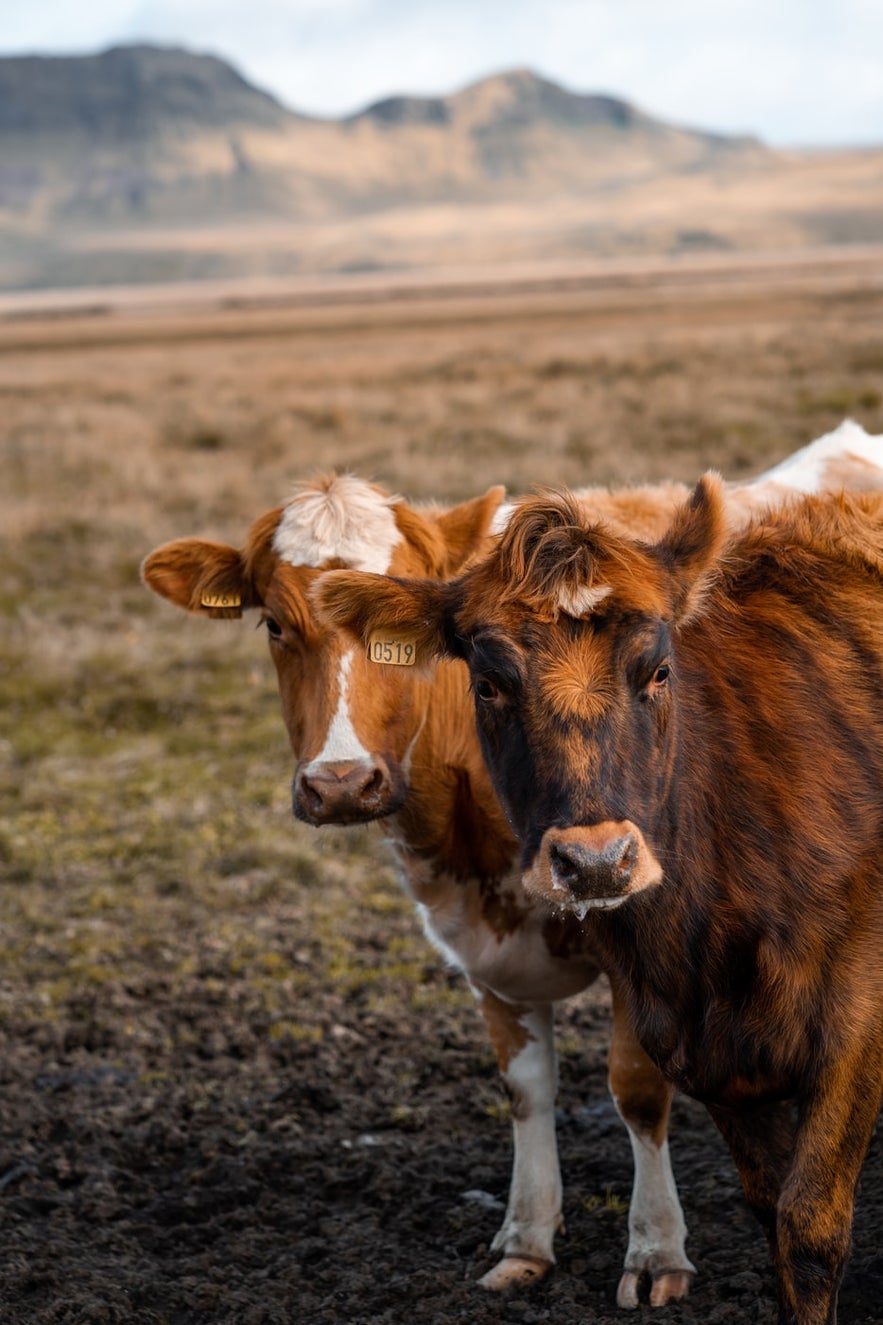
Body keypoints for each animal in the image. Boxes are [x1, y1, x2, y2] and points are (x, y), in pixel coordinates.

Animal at [312, 471, 880, 1319]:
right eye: (488, 682)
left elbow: (807, 1229)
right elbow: (772, 1216)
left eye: (658, 670)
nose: (595, 861)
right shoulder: (705, 1045)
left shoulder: (853, 1029)